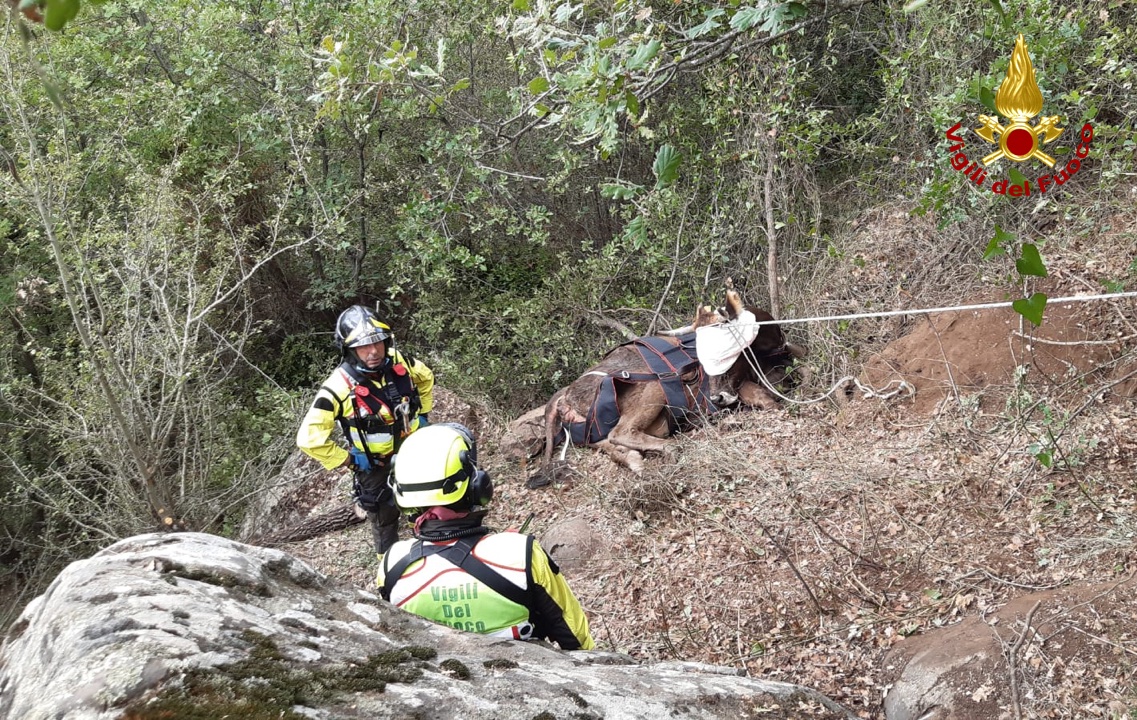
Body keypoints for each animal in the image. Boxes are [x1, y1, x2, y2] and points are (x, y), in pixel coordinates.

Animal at [529, 286, 804, 482]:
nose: (716, 398)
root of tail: (565, 394)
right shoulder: (742, 386)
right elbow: (767, 400)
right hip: (653, 388)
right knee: (621, 432)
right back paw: (672, 447)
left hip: (590, 434)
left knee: (614, 445)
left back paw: (637, 460)